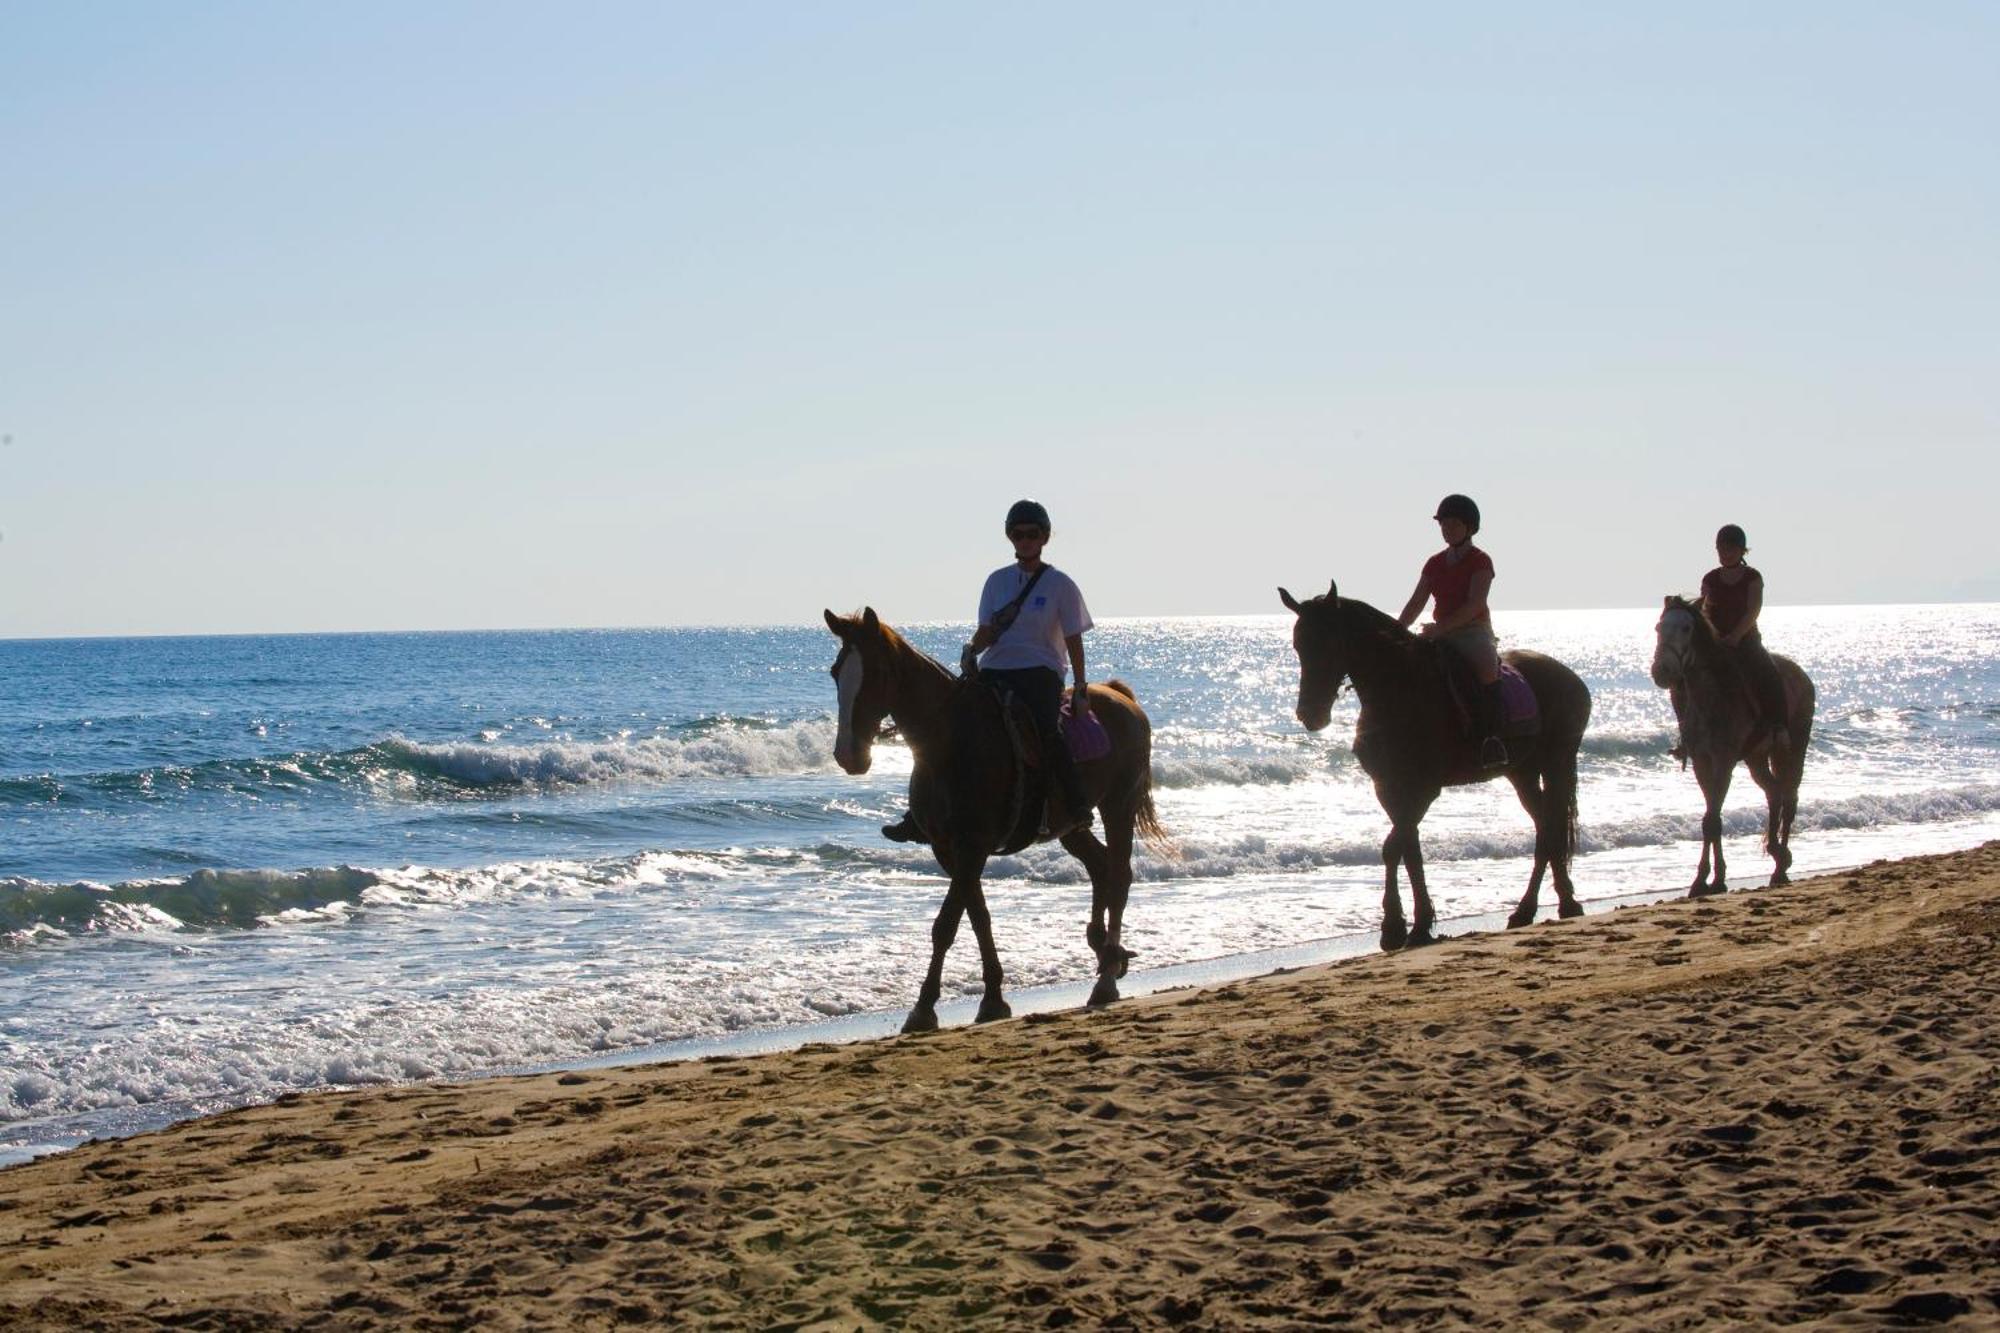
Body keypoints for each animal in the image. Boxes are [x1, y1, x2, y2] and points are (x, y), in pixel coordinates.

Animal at [824, 608, 1168, 1032]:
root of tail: (1121, 697)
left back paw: (1105, 978)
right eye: (836, 672)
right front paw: (992, 998)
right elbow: (977, 917)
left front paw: (924, 1007)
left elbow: (946, 925)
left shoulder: (972, 846)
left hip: (1119, 805)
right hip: (1070, 826)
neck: (949, 743)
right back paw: (1106, 952)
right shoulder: (948, 849)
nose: (848, 755)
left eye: (877, 673)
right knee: (1100, 867)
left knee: (1119, 875)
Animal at [1280, 580, 1592, 944]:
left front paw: (1403, 926)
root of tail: (1569, 676)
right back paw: (1536, 908)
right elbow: (1407, 851)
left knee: (1551, 828)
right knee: (1545, 826)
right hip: (1523, 773)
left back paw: (1555, 905)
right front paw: (1408, 925)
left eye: (1329, 643)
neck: (1400, 691)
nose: (1310, 715)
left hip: (1557, 763)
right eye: (1299, 646)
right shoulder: (1389, 787)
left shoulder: (1423, 789)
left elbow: (1394, 846)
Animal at [1656, 592, 1816, 892]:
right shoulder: (1702, 762)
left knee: (1789, 798)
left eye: (1686, 628)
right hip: (1756, 758)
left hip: (1794, 748)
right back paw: (1776, 853)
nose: (1661, 671)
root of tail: (1801, 675)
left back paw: (1781, 868)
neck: (1710, 698)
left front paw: (1715, 879)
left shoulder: (1724, 761)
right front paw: (1703, 879)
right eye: (1659, 628)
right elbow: (1711, 818)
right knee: (1774, 792)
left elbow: (1712, 819)